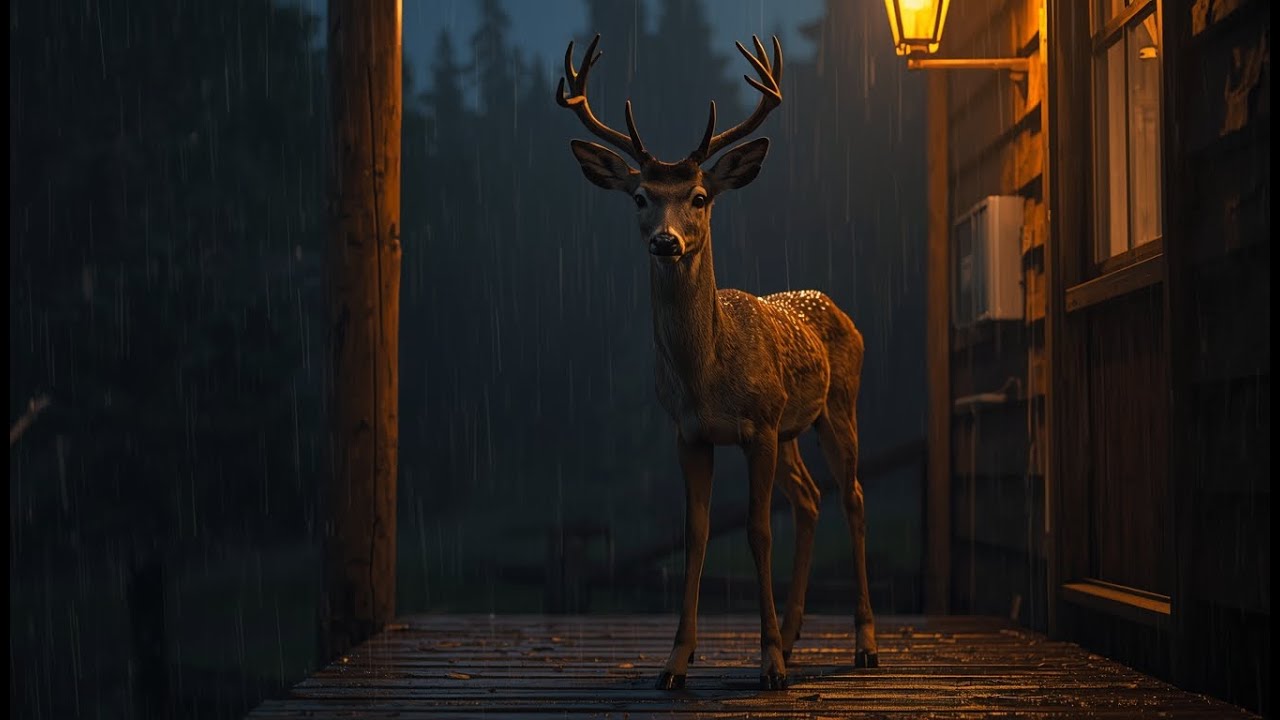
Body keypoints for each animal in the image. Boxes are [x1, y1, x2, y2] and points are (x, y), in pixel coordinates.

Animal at [556, 34, 877, 691]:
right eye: (640, 197)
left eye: (700, 198)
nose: (666, 241)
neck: (707, 377)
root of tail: (834, 306)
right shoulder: (689, 432)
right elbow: (698, 533)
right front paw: (676, 662)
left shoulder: (757, 427)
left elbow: (756, 531)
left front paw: (769, 664)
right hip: (791, 428)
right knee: (809, 499)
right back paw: (796, 633)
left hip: (836, 407)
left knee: (852, 497)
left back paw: (862, 643)